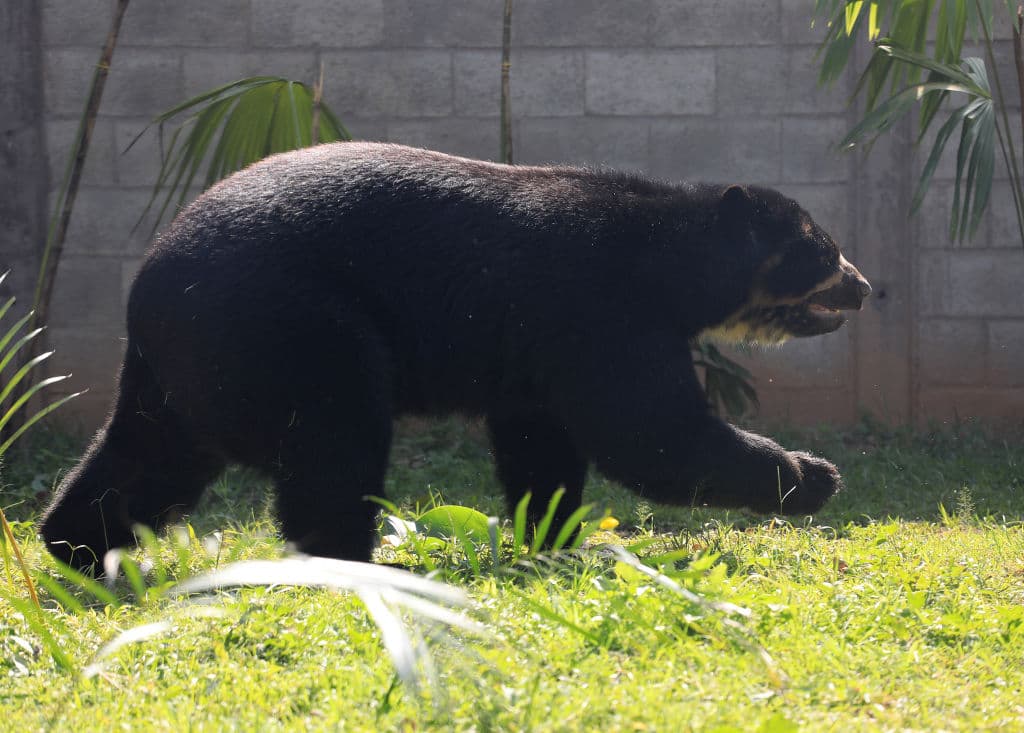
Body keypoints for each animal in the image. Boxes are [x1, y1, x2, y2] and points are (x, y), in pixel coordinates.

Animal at [39, 142, 871, 572]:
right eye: (825, 249)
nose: (864, 287)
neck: (669, 258)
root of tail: (148, 285)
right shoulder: (600, 308)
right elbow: (649, 431)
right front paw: (813, 475)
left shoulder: (537, 345)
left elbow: (543, 440)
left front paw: (553, 537)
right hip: (290, 325)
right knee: (335, 446)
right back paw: (355, 564)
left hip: (190, 369)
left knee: (148, 457)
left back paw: (79, 547)